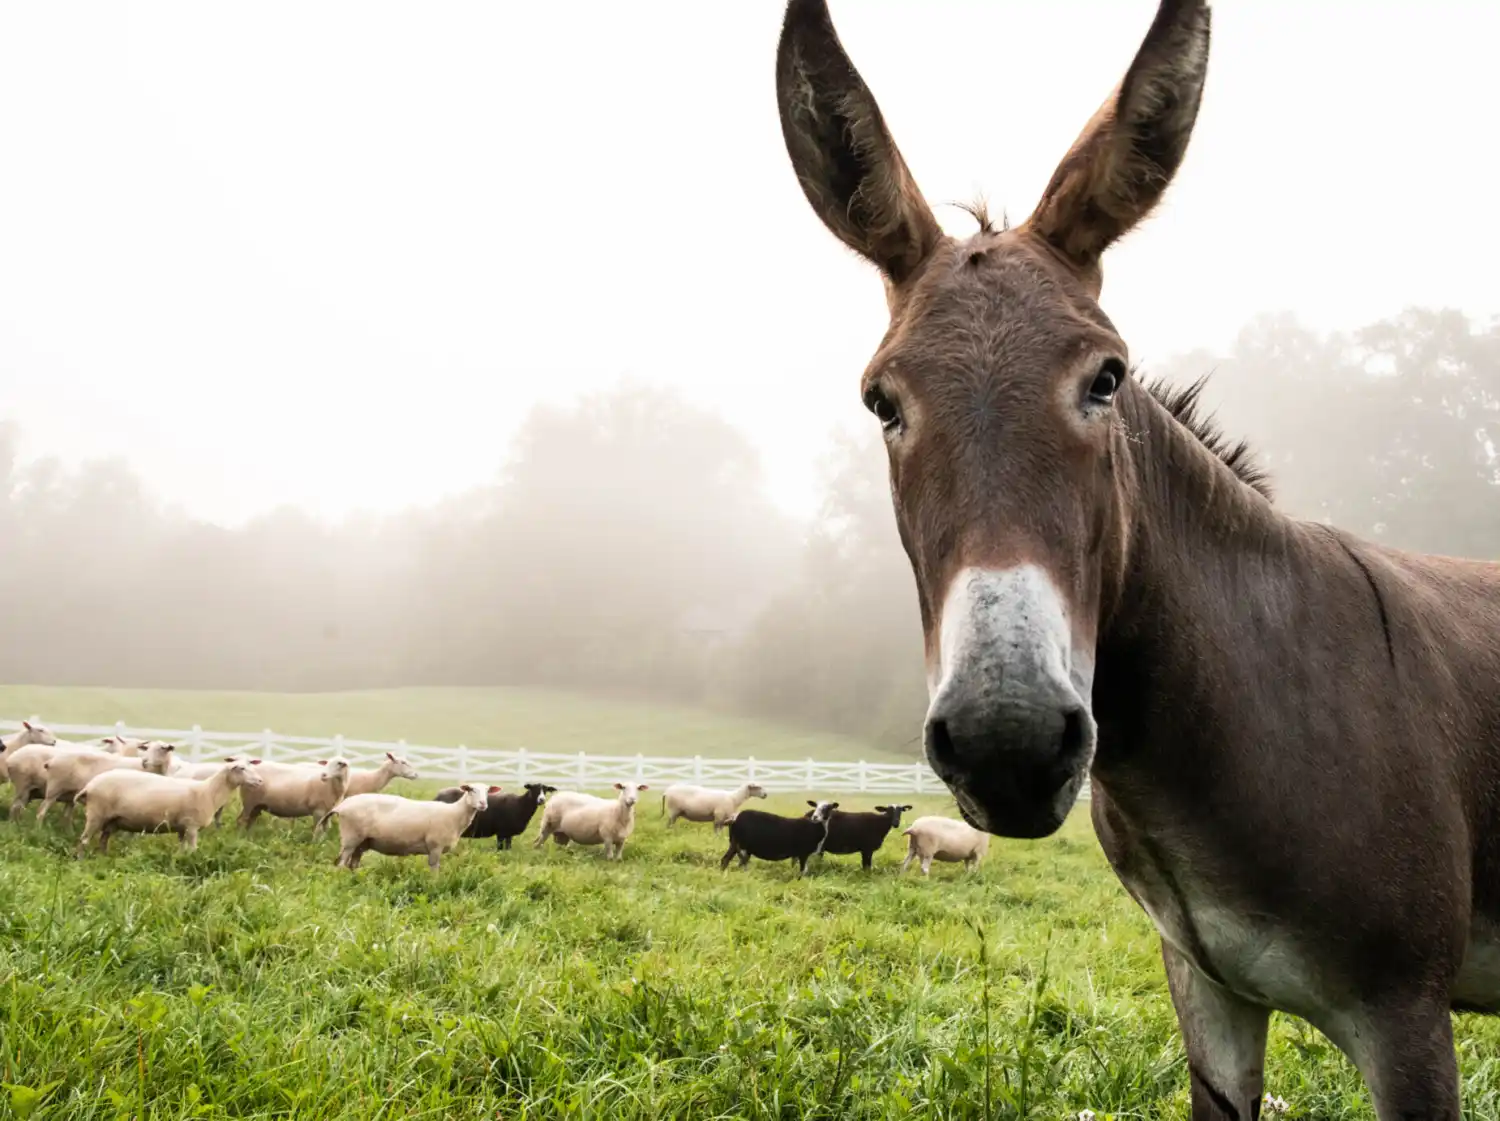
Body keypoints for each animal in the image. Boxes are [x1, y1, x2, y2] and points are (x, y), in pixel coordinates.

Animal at [35, 741, 178, 823]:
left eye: (161, 749)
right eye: (146, 749)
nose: (144, 761)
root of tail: (51, 762)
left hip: (70, 795)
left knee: (65, 816)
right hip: (54, 789)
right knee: (41, 812)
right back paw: (38, 830)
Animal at [74, 759, 265, 855]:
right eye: (241, 768)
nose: (260, 781)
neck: (208, 792)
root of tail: (89, 786)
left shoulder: (182, 828)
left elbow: (182, 849)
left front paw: (180, 860)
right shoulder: (192, 825)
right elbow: (193, 849)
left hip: (111, 820)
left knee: (103, 840)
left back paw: (103, 858)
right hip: (96, 813)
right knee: (83, 840)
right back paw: (81, 860)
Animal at [329, 783, 496, 871]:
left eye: (488, 791)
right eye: (471, 790)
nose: (483, 804)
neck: (455, 813)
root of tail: (342, 806)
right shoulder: (435, 846)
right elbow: (434, 868)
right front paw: (434, 885)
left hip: (363, 841)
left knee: (353, 863)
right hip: (351, 837)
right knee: (341, 863)